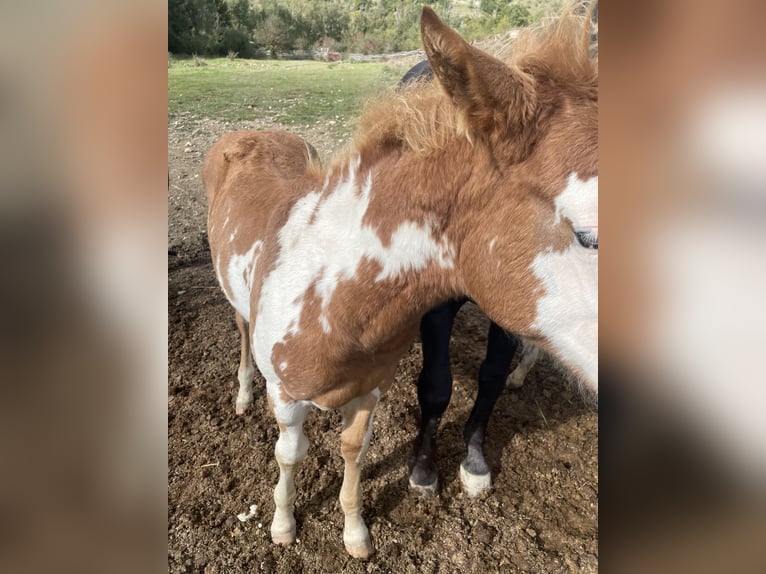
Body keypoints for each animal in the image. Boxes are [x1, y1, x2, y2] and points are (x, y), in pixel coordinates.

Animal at [203, 5, 598, 559]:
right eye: (587, 237)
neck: (327, 295)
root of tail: (247, 133)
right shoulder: (286, 395)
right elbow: (290, 453)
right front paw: (283, 524)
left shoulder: (370, 391)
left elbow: (353, 451)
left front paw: (355, 532)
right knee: (240, 329)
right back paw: (241, 394)